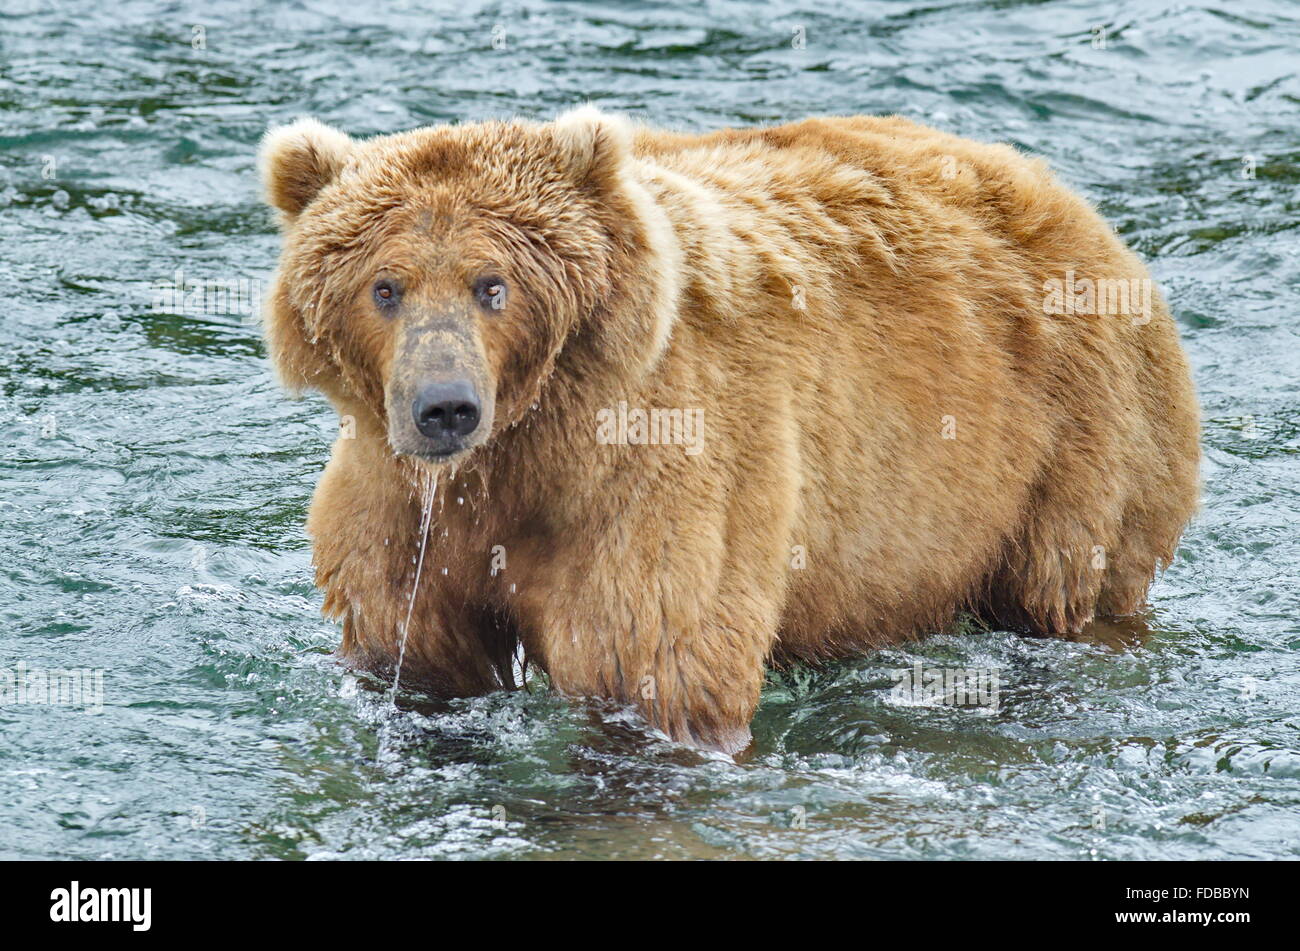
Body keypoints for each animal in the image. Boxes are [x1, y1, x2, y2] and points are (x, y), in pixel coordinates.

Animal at [258, 107, 1200, 754]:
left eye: (494, 285)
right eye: (386, 287)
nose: (445, 405)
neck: (531, 450)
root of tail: (1064, 195)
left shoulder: (661, 474)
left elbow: (659, 663)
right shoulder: (404, 511)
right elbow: (416, 659)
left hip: (1078, 436)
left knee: (1069, 583)